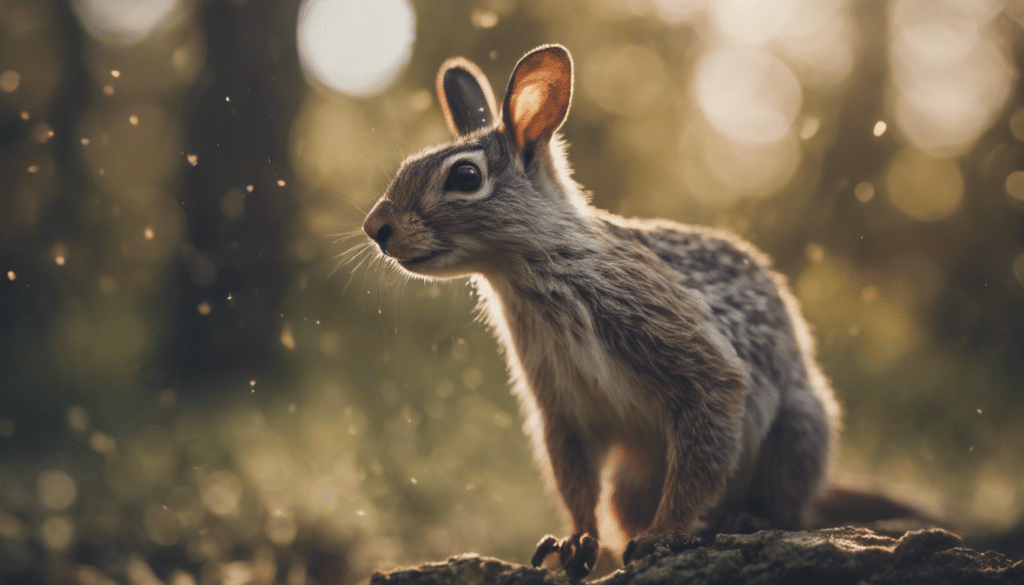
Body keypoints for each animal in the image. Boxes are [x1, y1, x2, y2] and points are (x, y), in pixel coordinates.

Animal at [360, 45, 839, 581]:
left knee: (787, 503)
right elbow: (576, 482)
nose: (374, 227)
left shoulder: (698, 368)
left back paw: (747, 519)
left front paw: (664, 535)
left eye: (465, 176)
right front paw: (574, 543)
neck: (532, 266)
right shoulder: (562, 408)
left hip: (798, 432)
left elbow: (699, 460)